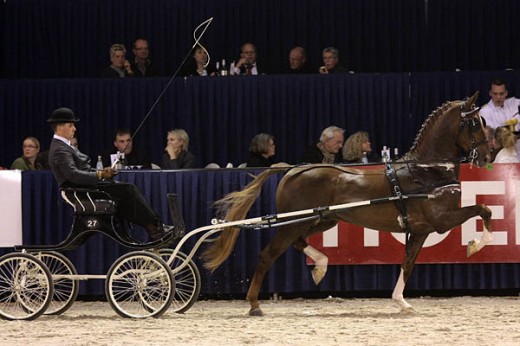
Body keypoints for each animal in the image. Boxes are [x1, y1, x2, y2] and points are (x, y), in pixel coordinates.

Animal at [202, 90, 492, 314]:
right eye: (475, 122)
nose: (488, 153)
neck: (426, 170)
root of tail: (295, 170)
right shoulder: (441, 221)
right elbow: (484, 210)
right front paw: (475, 246)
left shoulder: (421, 230)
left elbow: (408, 262)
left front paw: (401, 302)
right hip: (294, 223)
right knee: (266, 256)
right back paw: (254, 304)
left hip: (320, 219)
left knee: (298, 243)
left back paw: (320, 267)